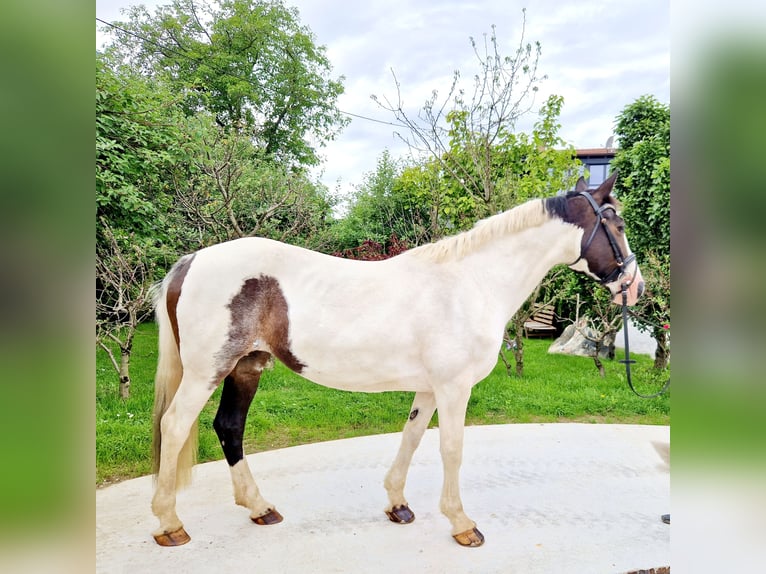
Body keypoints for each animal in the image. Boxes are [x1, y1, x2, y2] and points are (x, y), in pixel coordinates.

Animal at [148, 173, 640, 552]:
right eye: (615, 224)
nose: (636, 287)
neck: (471, 283)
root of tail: (191, 260)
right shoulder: (454, 387)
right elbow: (451, 448)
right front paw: (462, 524)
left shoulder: (430, 387)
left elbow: (413, 435)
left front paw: (398, 505)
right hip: (207, 371)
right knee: (175, 425)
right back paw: (170, 524)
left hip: (246, 366)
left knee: (229, 427)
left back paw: (260, 509)